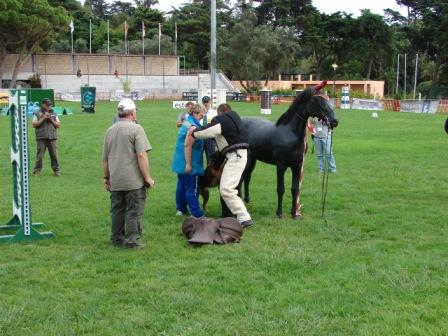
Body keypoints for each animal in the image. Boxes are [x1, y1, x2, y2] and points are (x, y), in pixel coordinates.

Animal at [243, 81, 338, 218]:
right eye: (318, 101)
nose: (335, 121)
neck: (290, 133)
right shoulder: (281, 165)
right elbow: (280, 188)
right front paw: (280, 213)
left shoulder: (297, 165)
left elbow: (295, 189)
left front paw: (294, 214)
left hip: (253, 160)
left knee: (247, 177)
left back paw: (246, 199)